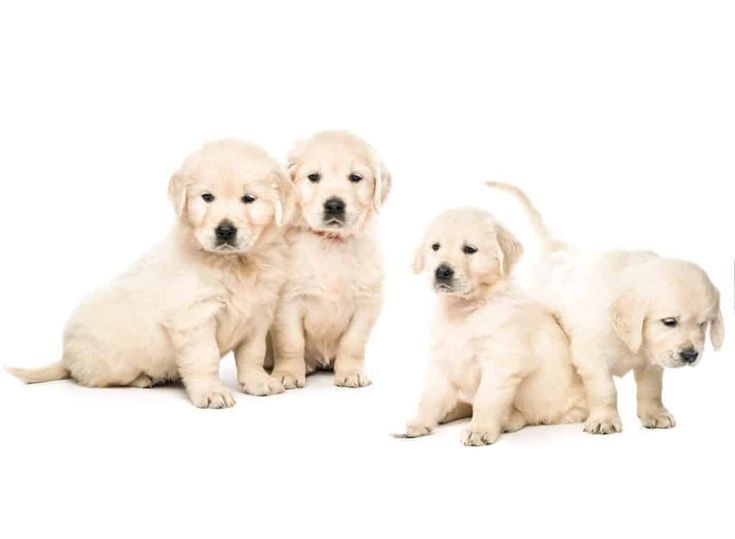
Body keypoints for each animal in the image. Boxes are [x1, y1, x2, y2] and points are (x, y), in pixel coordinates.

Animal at [8, 141, 292, 408]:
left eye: (249, 198)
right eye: (207, 197)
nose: (225, 231)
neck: (233, 263)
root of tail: (66, 357)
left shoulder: (258, 315)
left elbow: (252, 354)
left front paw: (257, 382)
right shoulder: (195, 318)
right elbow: (204, 357)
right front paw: (211, 392)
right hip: (115, 362)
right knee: (92, 378)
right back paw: (143, 378)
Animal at [270, 132, 392, 392]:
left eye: (355, 177)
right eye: (313, 177)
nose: (334, 205)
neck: (331, 243)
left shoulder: (367, 302)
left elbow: (353, 343)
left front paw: (352, 373)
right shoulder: (287, 302)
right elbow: (291, 342)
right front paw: (287, 373)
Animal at [396, 209, 588, 446]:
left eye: (469, 249)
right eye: (435, 246)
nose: (441, 271)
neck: (466, 309)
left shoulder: (500, 362)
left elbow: (485, 399)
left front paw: (479, 429)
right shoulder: (442, 361)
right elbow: (430, 398)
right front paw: (420, 423)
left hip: (560, 405)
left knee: (531, 416)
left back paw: (508, 420)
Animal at [488, 184, 724, 436]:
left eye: (703, 324)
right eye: (669, 322)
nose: (691, 355)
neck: (630, 340)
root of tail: (556, 249)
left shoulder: (651, 361)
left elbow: (651, 389)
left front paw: (655, 414)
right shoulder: (591, 357)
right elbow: (605, 390)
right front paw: (604, 419)